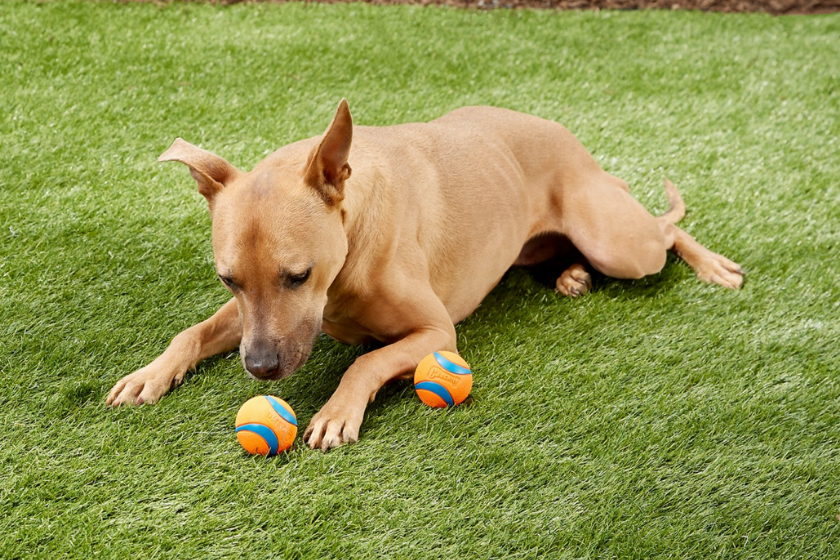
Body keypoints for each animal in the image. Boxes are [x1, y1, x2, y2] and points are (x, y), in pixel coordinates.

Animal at [106, 100, 740, 450]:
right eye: (228, 281)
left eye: (298, 275)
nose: (260, 368)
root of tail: (574, 142)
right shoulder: (246, 319)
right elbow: (189, 332)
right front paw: (148, 375)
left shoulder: (437, 334)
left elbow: (365, 361)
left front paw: (336, 411)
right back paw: (571, 275)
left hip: (619, 242)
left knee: (665, 229)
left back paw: (712, 265)